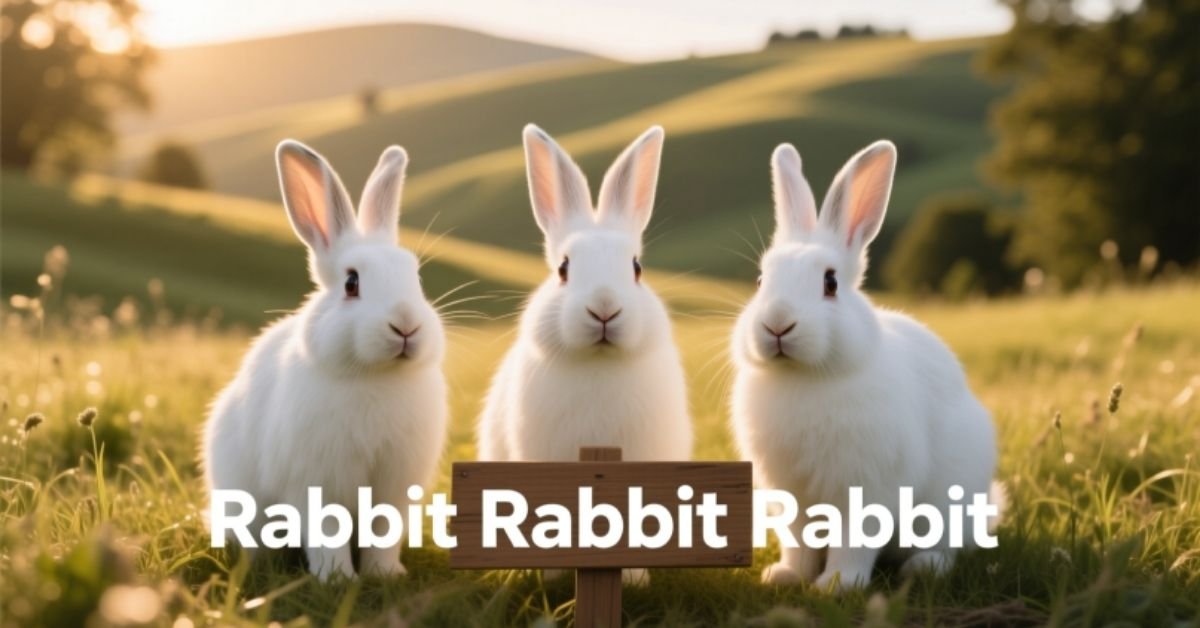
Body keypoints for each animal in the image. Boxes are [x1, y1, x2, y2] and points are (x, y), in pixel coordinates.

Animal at [203, 140, 448, 581]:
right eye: (351, 283)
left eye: (416, 278)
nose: (406, 325)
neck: (375, 376)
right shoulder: (314, 481)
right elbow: (327, 533)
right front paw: (337, 579)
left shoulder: (394, 484)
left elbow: (383, 532)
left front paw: (385, 575)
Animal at [476, 125, 693, 584]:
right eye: (563, 269)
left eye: (636, 268)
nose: (604, 308)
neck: (599, 363)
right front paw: (554, 578)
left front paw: (632, 579)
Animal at [730, 141, 999, 592]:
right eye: (761, 281)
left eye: (831, 283)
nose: (777, 324)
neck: (804, 377)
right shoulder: (792, 495)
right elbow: (798, 542)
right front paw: (785, 576)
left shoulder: (868, 487)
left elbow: (853, 541)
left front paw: (837, 586)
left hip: (949, 502)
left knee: (947, 545)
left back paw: (923, 567)